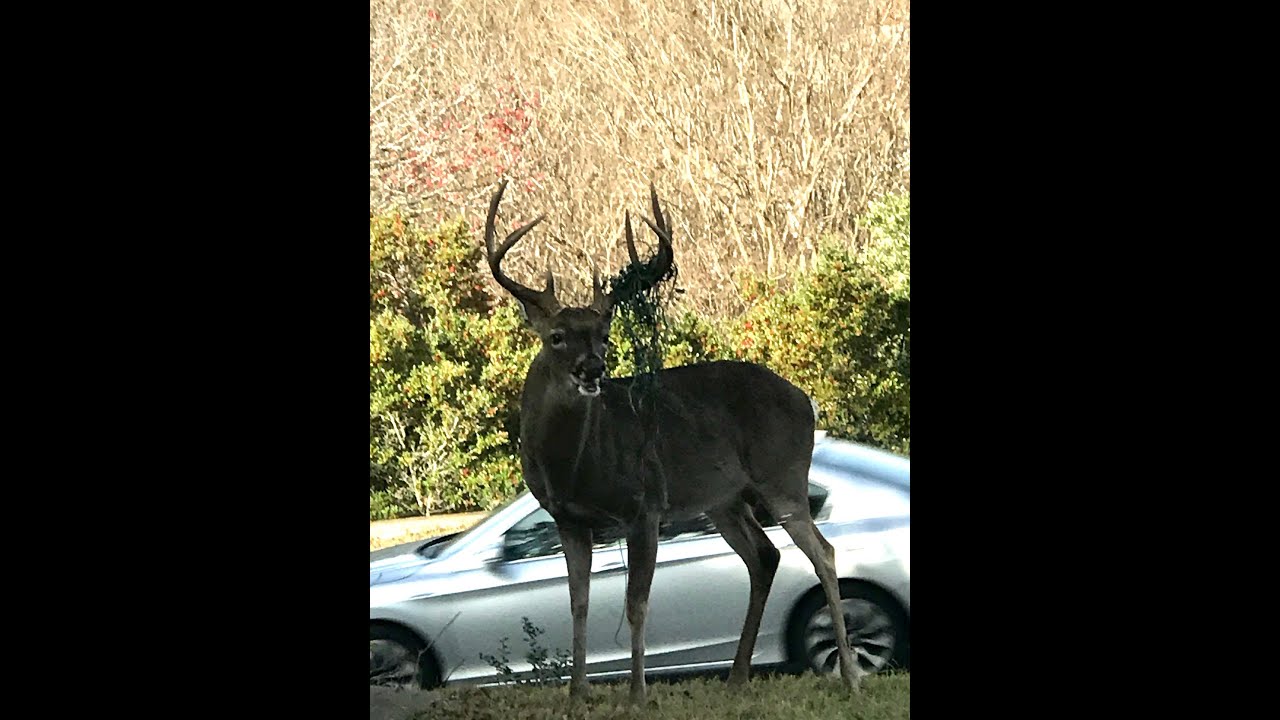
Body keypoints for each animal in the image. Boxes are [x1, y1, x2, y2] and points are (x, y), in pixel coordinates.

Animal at [482, 179, 861, 704]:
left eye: (604, 334)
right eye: (556, 336)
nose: (593, 369)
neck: (573, 467)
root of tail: (807, 400)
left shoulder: (645, 505)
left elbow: (636, 603)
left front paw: (636, 695)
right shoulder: (568, 519)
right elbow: (577, 603)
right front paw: (577, 694)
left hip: (782, 474)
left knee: (822, 553)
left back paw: (849, 676)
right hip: (723, 499)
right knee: (765, 556)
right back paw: (737, 676)